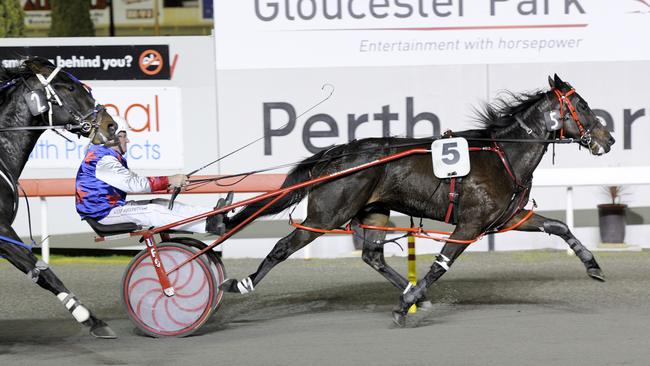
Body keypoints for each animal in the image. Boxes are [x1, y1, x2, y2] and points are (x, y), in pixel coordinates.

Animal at [216, 74, 612, 326]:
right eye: (582, 105)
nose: (607, 140)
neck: (503, 155)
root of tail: (335, 154)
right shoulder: (470, 224)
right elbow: (440, 265)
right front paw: (404, 306)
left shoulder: (509, 217)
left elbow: (559, 226)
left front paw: (593, 265)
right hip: (326, 215)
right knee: (283, 246)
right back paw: (241, 283)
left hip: (374, 211)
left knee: (372, 256)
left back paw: (411, 292)